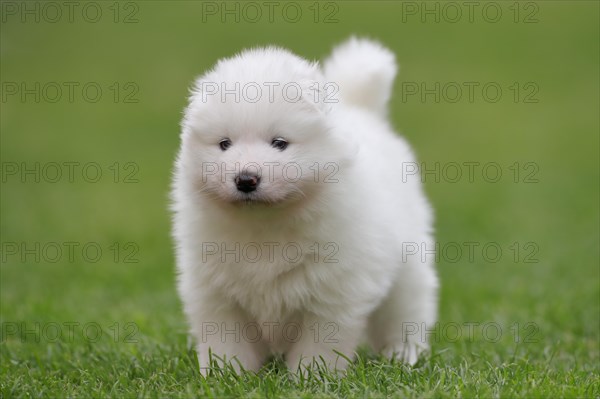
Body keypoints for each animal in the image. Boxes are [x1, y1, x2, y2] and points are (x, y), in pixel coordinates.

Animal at [171, 37, 438, 376]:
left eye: (279, 143)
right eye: (224, 144)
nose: (246, 179)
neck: (264, 225)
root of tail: (362, 110)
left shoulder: (334, 291)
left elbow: (319, 344)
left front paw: (311, 377)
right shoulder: (215, 290)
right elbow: (226, 340)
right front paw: (227, 375)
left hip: (408, 267)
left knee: (405, 313)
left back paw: (403, 355)